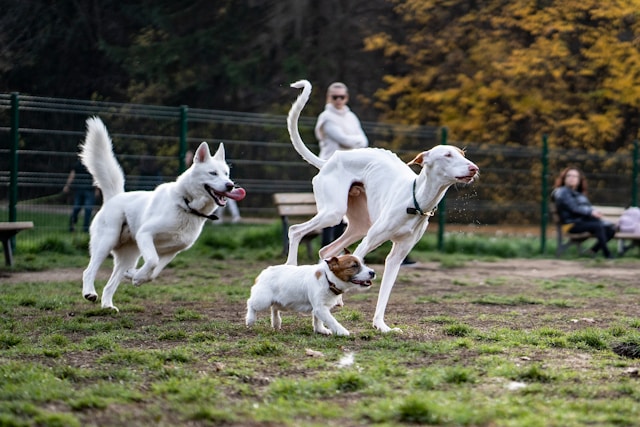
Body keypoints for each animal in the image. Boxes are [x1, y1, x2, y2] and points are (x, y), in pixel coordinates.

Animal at [78, 117, 248, 310]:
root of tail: (114, 197)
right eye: (213, 173)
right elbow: (152, 261)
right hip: (106, 242)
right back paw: (90, 293)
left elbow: (153, 273)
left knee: (111, 283)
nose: (230, 185)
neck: (186, 204)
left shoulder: (171, 252)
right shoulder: (146, 234)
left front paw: (135, 277)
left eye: (226, 173)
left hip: (129, 255)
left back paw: (108, 305)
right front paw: (137, 276)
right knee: (88, 271)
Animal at [245, 252, 376, 336]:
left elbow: (318, 320)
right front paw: (342, 331)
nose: (373, 272)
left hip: (281, 302)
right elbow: (332, 321)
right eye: (354, 266)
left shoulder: (320, 307)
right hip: (262, 300)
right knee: (250, 303)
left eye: (363, 263)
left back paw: (276, 322)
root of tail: (264, 272)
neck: (328, 279)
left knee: (274, 308)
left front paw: (320, 330)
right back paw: (250, 319)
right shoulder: (320, 308)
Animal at [288, 80, 478, 334]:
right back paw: (291, 267)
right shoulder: (368, 242)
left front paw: (381, 325)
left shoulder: (397, 256)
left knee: (326, 251)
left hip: (358, 224)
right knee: (295, 230)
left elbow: (385, 293)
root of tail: (329, 161)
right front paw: (337, 299)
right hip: (334, 213)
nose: (474, 168)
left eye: (462, 154)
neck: (416, 200)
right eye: (447, 155)